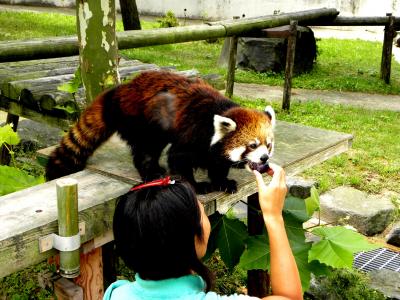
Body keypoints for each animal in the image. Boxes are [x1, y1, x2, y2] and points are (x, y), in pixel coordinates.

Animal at [45, 70, 274, 193]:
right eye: (252, 145)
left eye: (268, 145)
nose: (264, 158)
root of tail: (119, 90)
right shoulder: (193, 134)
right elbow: (179, 160)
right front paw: (196, 186)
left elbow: (218, 165)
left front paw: (223, 182)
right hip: (142, 121)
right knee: (147, 150)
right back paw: (152, 171)